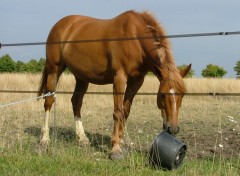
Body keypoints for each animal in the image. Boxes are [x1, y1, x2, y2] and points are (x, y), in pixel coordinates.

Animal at [38, 10, 191, 160]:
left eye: (183, 95)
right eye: (163, 94)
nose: (173, 129)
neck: (135, 38)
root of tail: (61, 24)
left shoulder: (136, 81)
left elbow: (125, 111)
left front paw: (122, 141)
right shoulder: (119, 78)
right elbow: (118, 111)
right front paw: (115, 149)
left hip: (82, 77)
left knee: (76, 102)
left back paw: (82, 138)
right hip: (54, 70)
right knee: (49, 101)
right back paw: (44, 140)